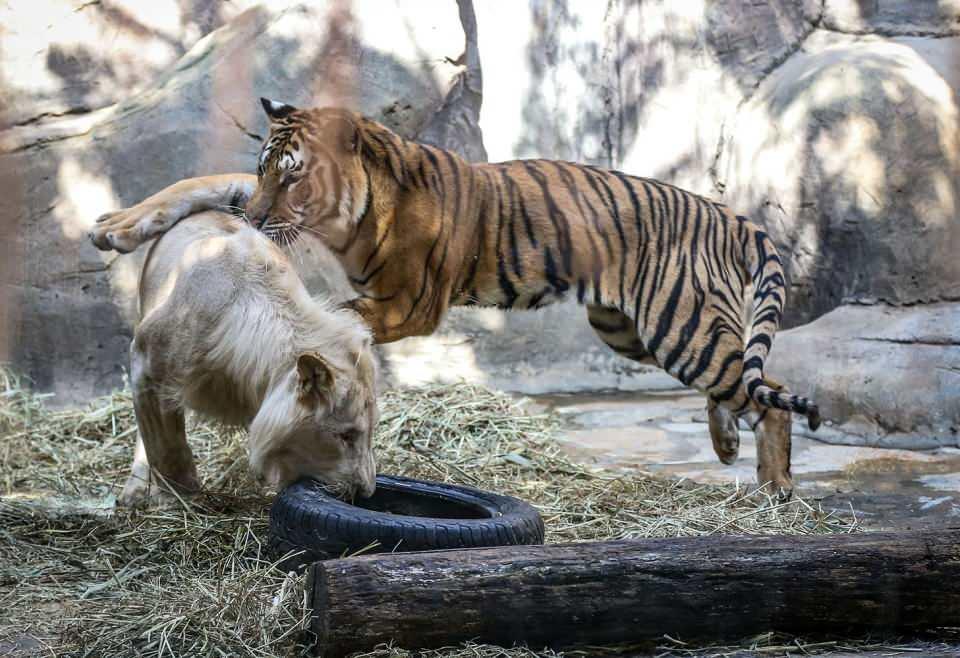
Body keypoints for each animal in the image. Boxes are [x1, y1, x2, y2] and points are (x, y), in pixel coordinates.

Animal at [90, 97, 820, 494]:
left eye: (294, 178)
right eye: (268, 170)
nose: (256, 219)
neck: (341, 216)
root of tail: (728, 213)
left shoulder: (403, 304)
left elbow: (332, 332)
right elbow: (198, 183)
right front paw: (113, 228)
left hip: (678, 327)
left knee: (766, 394)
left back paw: (777, 487)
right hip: (627, 329)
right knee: (741, 385)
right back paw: (726, 443)